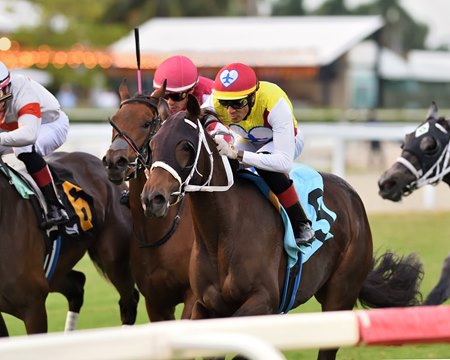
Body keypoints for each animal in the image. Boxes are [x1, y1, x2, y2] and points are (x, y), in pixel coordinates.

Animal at [142, 95, 426, 360]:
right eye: (152, 145)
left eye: (186, 146)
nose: (152, 198)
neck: (221, 235)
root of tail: (351, 196)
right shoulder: (207, 306)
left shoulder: (264, 301)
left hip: (340, 296)